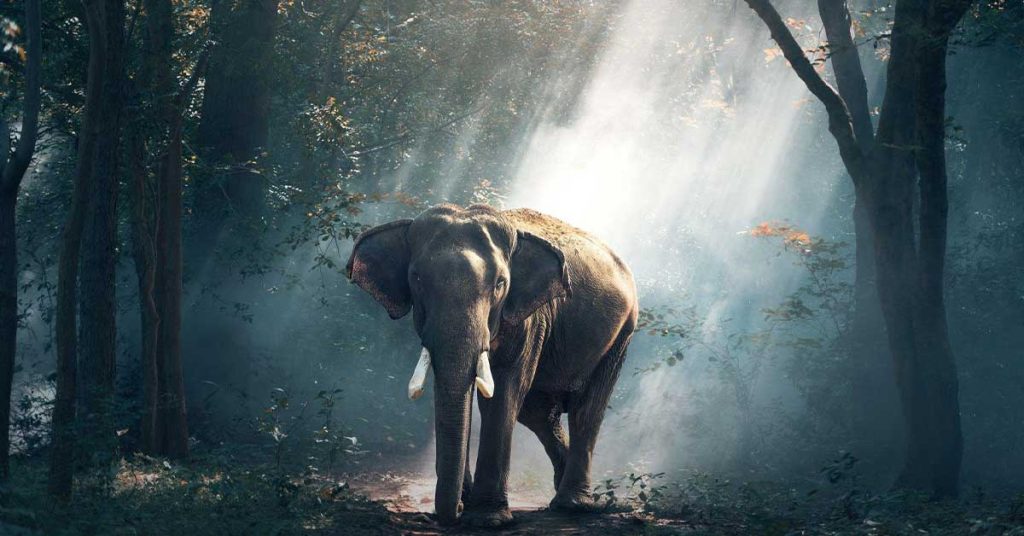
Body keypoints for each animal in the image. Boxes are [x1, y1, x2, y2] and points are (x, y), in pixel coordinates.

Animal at [346, 204, 638, 527]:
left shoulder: (529, 318)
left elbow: (504, 393)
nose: (454, 512)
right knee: (538, 413)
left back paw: (574, 505)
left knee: (586, 409)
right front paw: (468, 505)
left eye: (500, 284)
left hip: (621, 334)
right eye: (417, 279)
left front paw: (487, 518)